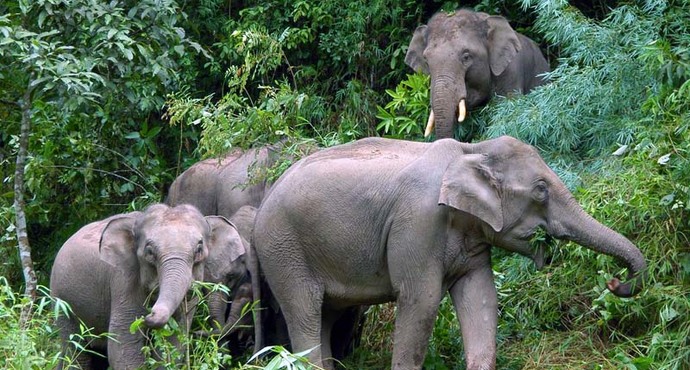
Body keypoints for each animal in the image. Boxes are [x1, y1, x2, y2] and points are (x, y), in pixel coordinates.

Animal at [49, 204, 238, 368]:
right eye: (150, 252)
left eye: (199, 249)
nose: (150, 314)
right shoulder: (124, 280)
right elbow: (123, 346)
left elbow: (174, 343)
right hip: (62, 301)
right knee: (75, 351)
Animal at [251, 137, 644, 370]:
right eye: (541, 190)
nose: (615, 282)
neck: (474, 148)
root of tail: (259, 209)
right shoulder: (418, 225)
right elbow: (421, 302)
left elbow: (481, 296)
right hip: (284, 250)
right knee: (304, 313)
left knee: (325, 318)